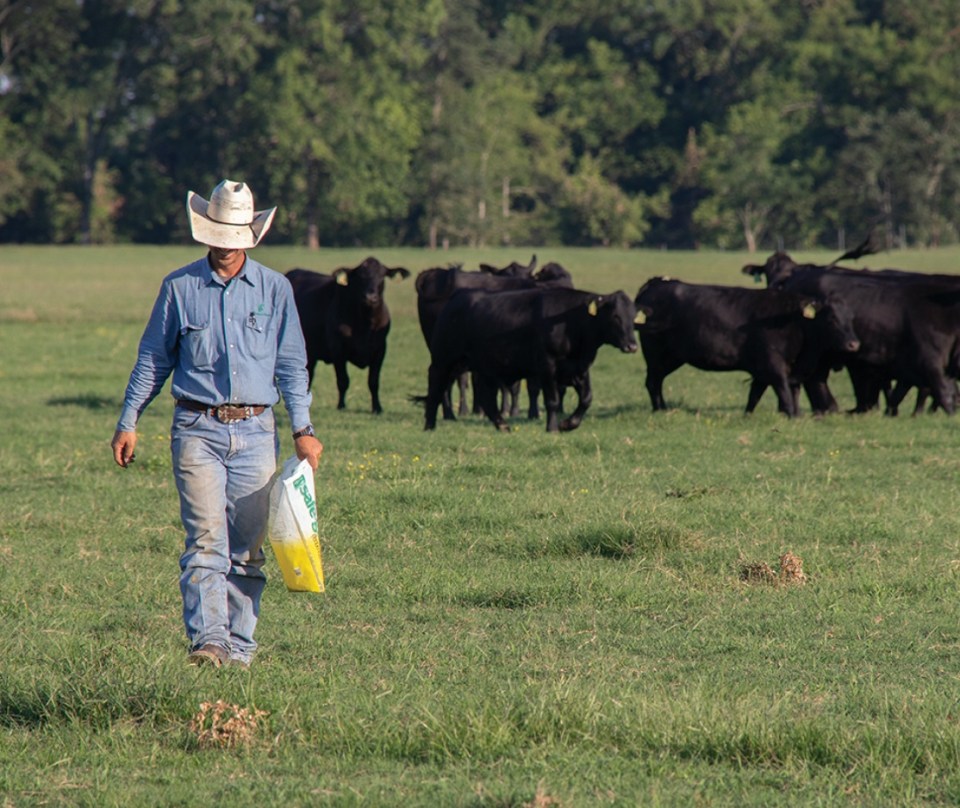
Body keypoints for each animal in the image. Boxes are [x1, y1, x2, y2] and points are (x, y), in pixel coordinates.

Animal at [284, 258, 406, 414]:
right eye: (360, 277)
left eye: (382, 276)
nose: (370, 297)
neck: (365, 323)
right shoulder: (338, 350)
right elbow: (343, 380)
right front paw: (341, 406)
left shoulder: (380, 349)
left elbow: (373, 381)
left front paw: (377, 408)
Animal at [420, 288, 636, 432]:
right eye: (615, 316)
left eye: (633, 318)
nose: (632, 346)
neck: (572, 322)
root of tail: (456, 298)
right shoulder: (547, 366)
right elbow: (552, 401)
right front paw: (552, 428)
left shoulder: (579, 368)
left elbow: (587, 398)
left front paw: (568, 424)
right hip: (443, 360)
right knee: (435, 388)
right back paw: (429, 425)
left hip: (484, 366)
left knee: (486, 397)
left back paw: (502, 425)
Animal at [632, 278, 860, 416]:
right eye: (831, 319)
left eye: (850, 318)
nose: (854, 343)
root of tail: (657, 283)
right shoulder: (774, 365)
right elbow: (784, 393)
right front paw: (792, 416)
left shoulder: (772, 369)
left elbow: (757, 395)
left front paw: (749, 415)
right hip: (657, 355)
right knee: (653, 383)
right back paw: (659, 410)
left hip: (671, 358)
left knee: (656, 382)